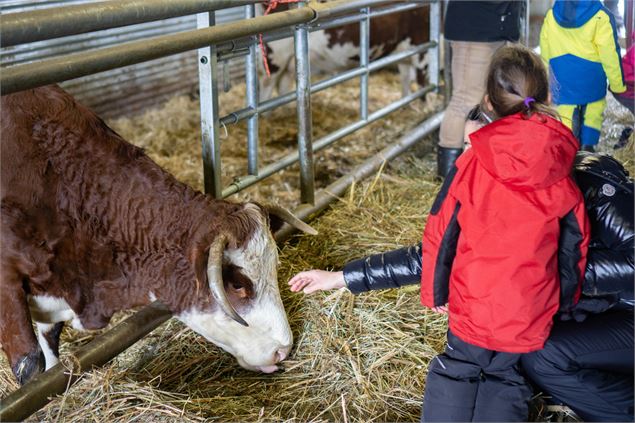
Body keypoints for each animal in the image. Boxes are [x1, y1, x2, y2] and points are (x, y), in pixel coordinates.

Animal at [258, 4, 432, 100]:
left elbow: (407, 80)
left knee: (282, 86)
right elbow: (423, 86)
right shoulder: (422, 46)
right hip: (275, 58)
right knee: (267, 88)